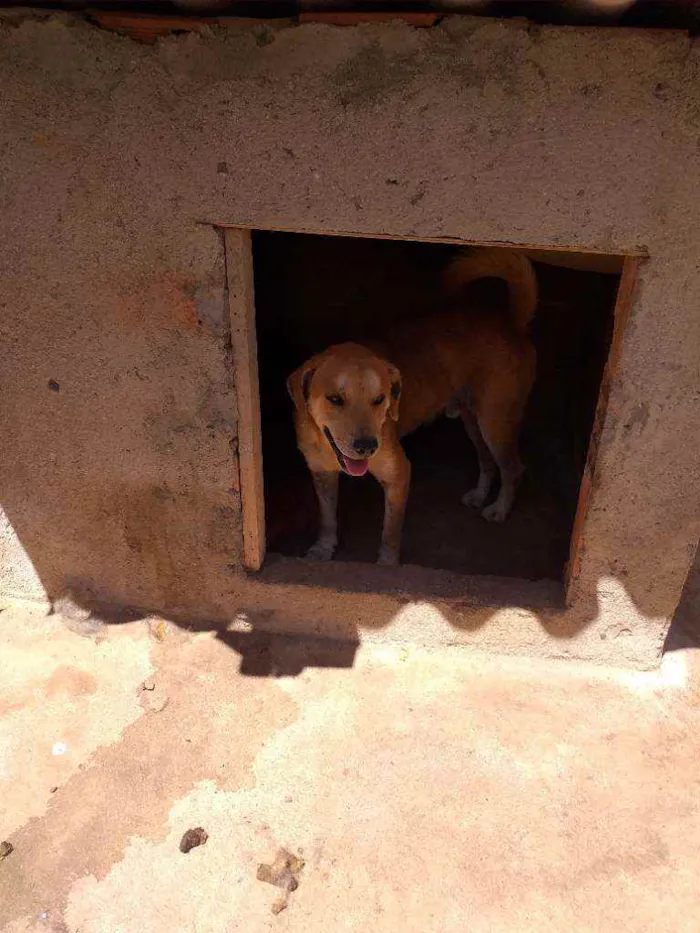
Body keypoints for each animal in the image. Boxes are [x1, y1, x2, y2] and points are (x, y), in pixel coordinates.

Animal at [288, 248, 540, 564]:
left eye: (380, 399)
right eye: (335, 399)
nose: (367, 446)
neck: (326, 442)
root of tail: (512, 324)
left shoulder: (398, 474)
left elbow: (390, 531)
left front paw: (386, 564)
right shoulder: (322, 475)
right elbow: (327, 519)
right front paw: (323, 549)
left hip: (495, 423)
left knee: (513, 468)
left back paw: (500, 509)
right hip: (475, 422)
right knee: (487, 461)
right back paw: (480, 495)